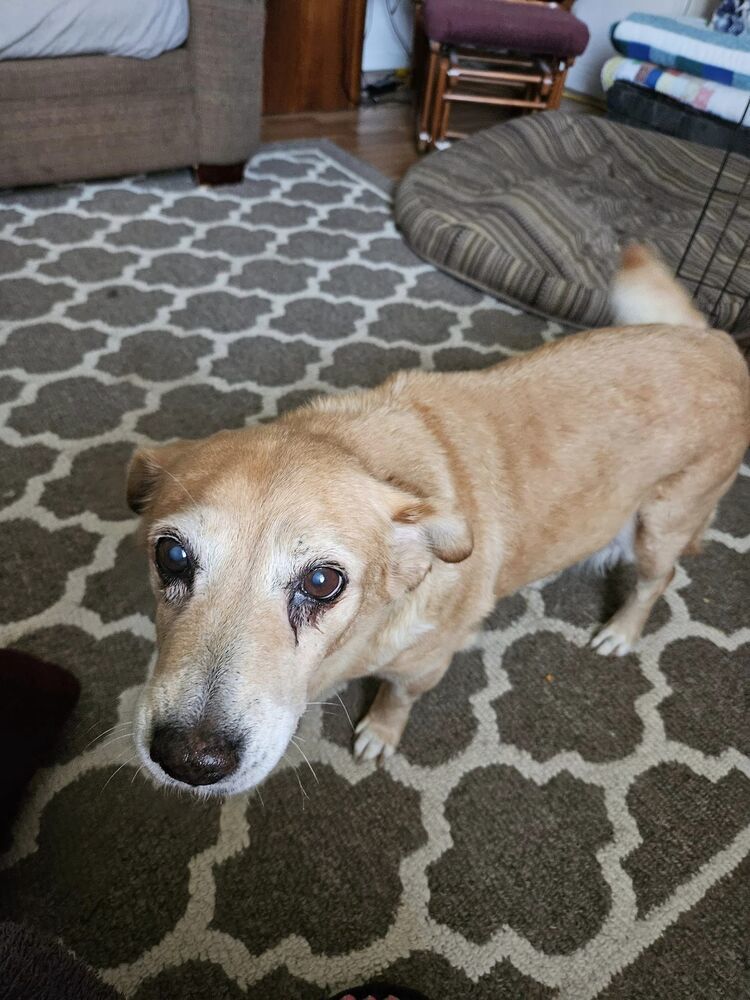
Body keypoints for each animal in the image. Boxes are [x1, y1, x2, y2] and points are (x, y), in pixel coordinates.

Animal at [129, 250, 750, 796]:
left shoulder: (422, 666)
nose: (190, 759)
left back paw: (621, 629)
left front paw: (381, 731)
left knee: (657, 579)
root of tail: (716, 341)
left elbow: (398, 699)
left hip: (661, 525)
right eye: (172, 555)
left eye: (323, 582)